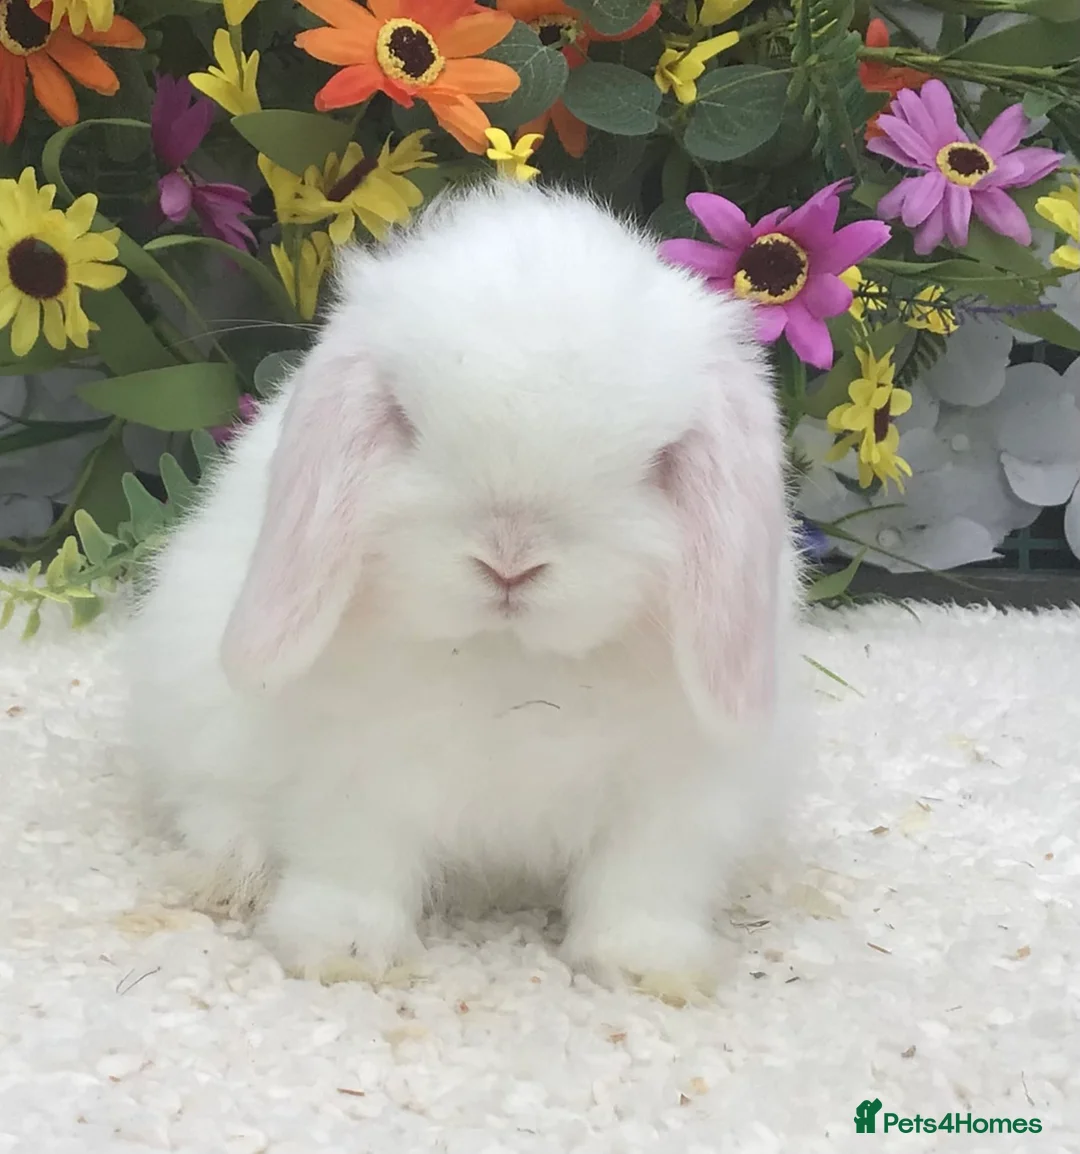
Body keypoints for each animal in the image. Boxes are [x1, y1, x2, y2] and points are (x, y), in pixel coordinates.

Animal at [125, 180, 809, 994]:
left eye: (659, 462)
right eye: (404, 424)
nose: (509, 559)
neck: (509, 660)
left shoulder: (674, 794)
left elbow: (645, 880)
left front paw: (645, 967)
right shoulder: (352, 768)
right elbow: (352, 860)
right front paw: (344, 953)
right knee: (214, 808)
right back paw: (230, 877)